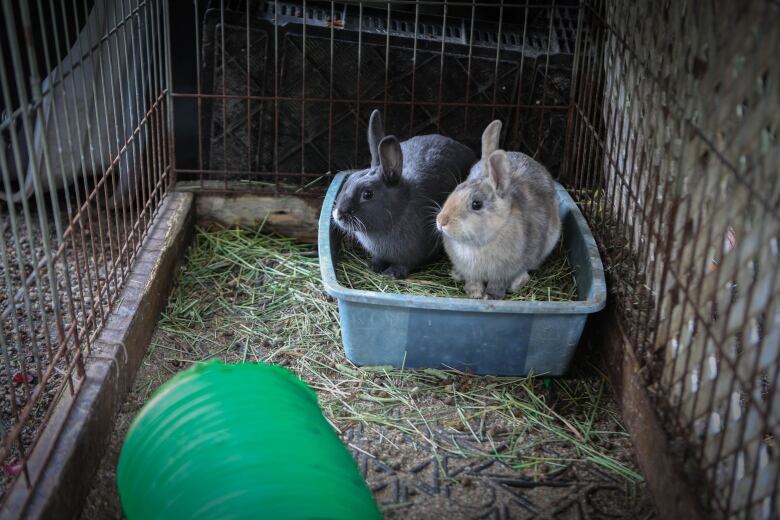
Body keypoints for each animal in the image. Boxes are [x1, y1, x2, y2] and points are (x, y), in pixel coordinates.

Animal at [330, 109, 472, 278]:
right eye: (349, 180)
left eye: (368, 194)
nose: (338, 214)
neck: (399, 209)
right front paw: (374, 266)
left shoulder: (413, 255)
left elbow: (405, 264)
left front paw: (392, 273)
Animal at [438, 120, 560, 298]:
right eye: (457, 188)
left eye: (476, 204)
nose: (441, 222)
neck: (480, 242)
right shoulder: (470, 272)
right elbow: (472, 280)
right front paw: (474, 293)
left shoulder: (505, 273)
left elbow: (498, 285)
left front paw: (489, 296)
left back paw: (519, 282)